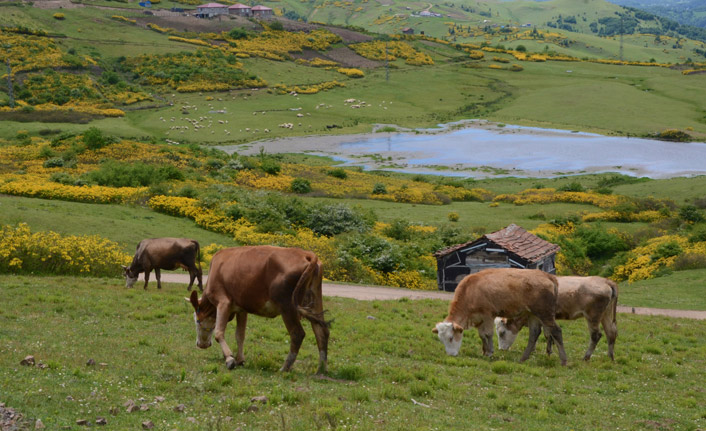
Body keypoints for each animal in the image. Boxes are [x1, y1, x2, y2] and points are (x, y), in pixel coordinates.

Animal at [187, 246, 330, 374]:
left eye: (196, 321)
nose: (200, 345)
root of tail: (306, 254)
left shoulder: (223, 302)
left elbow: (219, 332)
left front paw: (229, 359)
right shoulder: (241, 309)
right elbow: (240, 335)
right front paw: (240, 359)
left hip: (288, 306)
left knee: (297, 334)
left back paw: (284, 368)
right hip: (315, 301)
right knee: (321, 331)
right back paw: (321, 369)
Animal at [428, 268, 568, 366]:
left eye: (451, 338)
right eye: (441, 339)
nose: (450, 355)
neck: (471, 291)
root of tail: (548, 276)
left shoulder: (488, 315)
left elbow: (488, 334)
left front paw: (490, 352)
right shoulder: (479, 318)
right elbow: (482, 335)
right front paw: (484, 351)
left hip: (545, 314)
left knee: (556, 331)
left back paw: (563, 361)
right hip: (533, 314)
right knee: (534, 334)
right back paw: (523, 358)